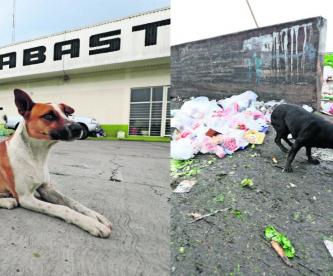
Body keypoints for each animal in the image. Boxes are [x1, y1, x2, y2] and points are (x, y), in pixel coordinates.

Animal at [0, 89, 111, 238]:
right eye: (49, 116)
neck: (35, 155)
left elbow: (72, 202)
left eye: (66, 114)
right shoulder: (26, 198)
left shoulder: (47, 189)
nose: (79, 127)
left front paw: (96, 216)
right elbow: (64, 208)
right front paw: (91, 223)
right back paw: (7, 201)